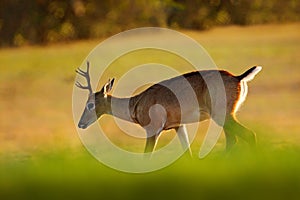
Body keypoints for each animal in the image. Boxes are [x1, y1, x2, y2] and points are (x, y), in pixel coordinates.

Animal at [74, 61, 260, 155]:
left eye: (90, 104)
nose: (80, 124)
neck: (137, 103)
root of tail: (238, 78)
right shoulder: (178, 126)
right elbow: (187, 153)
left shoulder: (153, 129)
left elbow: (146, 156)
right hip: (225, 116)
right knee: (233, 139)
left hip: (222, 115)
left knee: (248, 135)